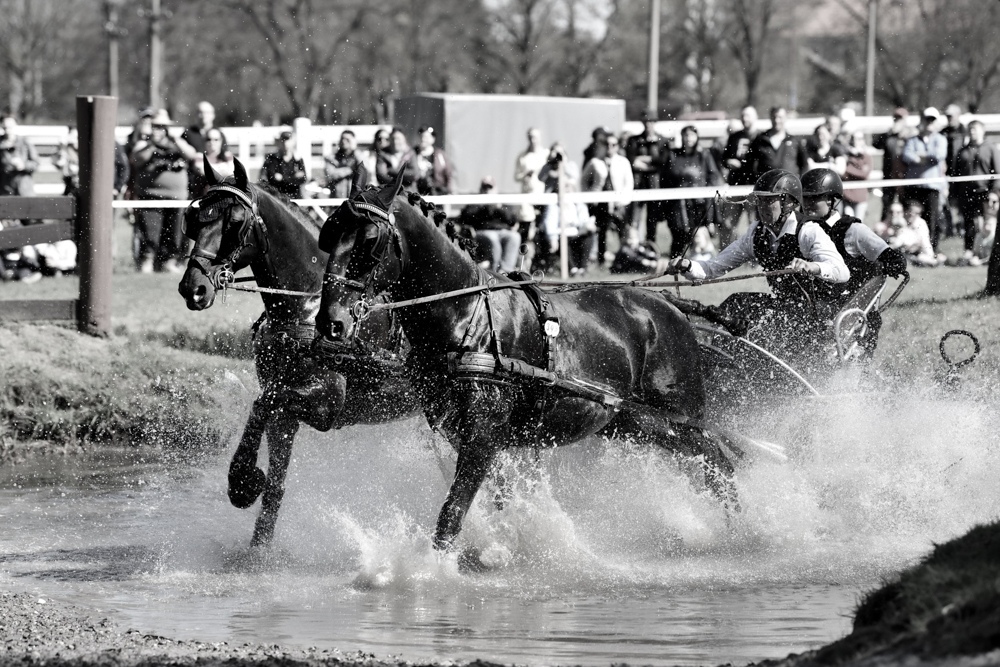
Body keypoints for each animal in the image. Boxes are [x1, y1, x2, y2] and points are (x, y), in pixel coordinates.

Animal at [178, 156, 419, 546]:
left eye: (234, 222)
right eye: (195, 218)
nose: (193, 287)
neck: (305, 306)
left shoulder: (325, 402)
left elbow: (261, 403)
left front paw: (243, 481)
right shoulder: (286, 413)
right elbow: (275, 484)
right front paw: (258, 543)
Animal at [315, 169, 741, 553]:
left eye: (369, 242)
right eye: (329, 234)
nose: (330, 322)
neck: (466, 315)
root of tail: (670, 305)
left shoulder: (482, 434)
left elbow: (452, 511)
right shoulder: (466, 435)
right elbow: (498, 498)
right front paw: (507, 546)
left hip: (679, 414)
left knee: (719, 463)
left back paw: (741, 530)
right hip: (633, 422)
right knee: (698, 461)